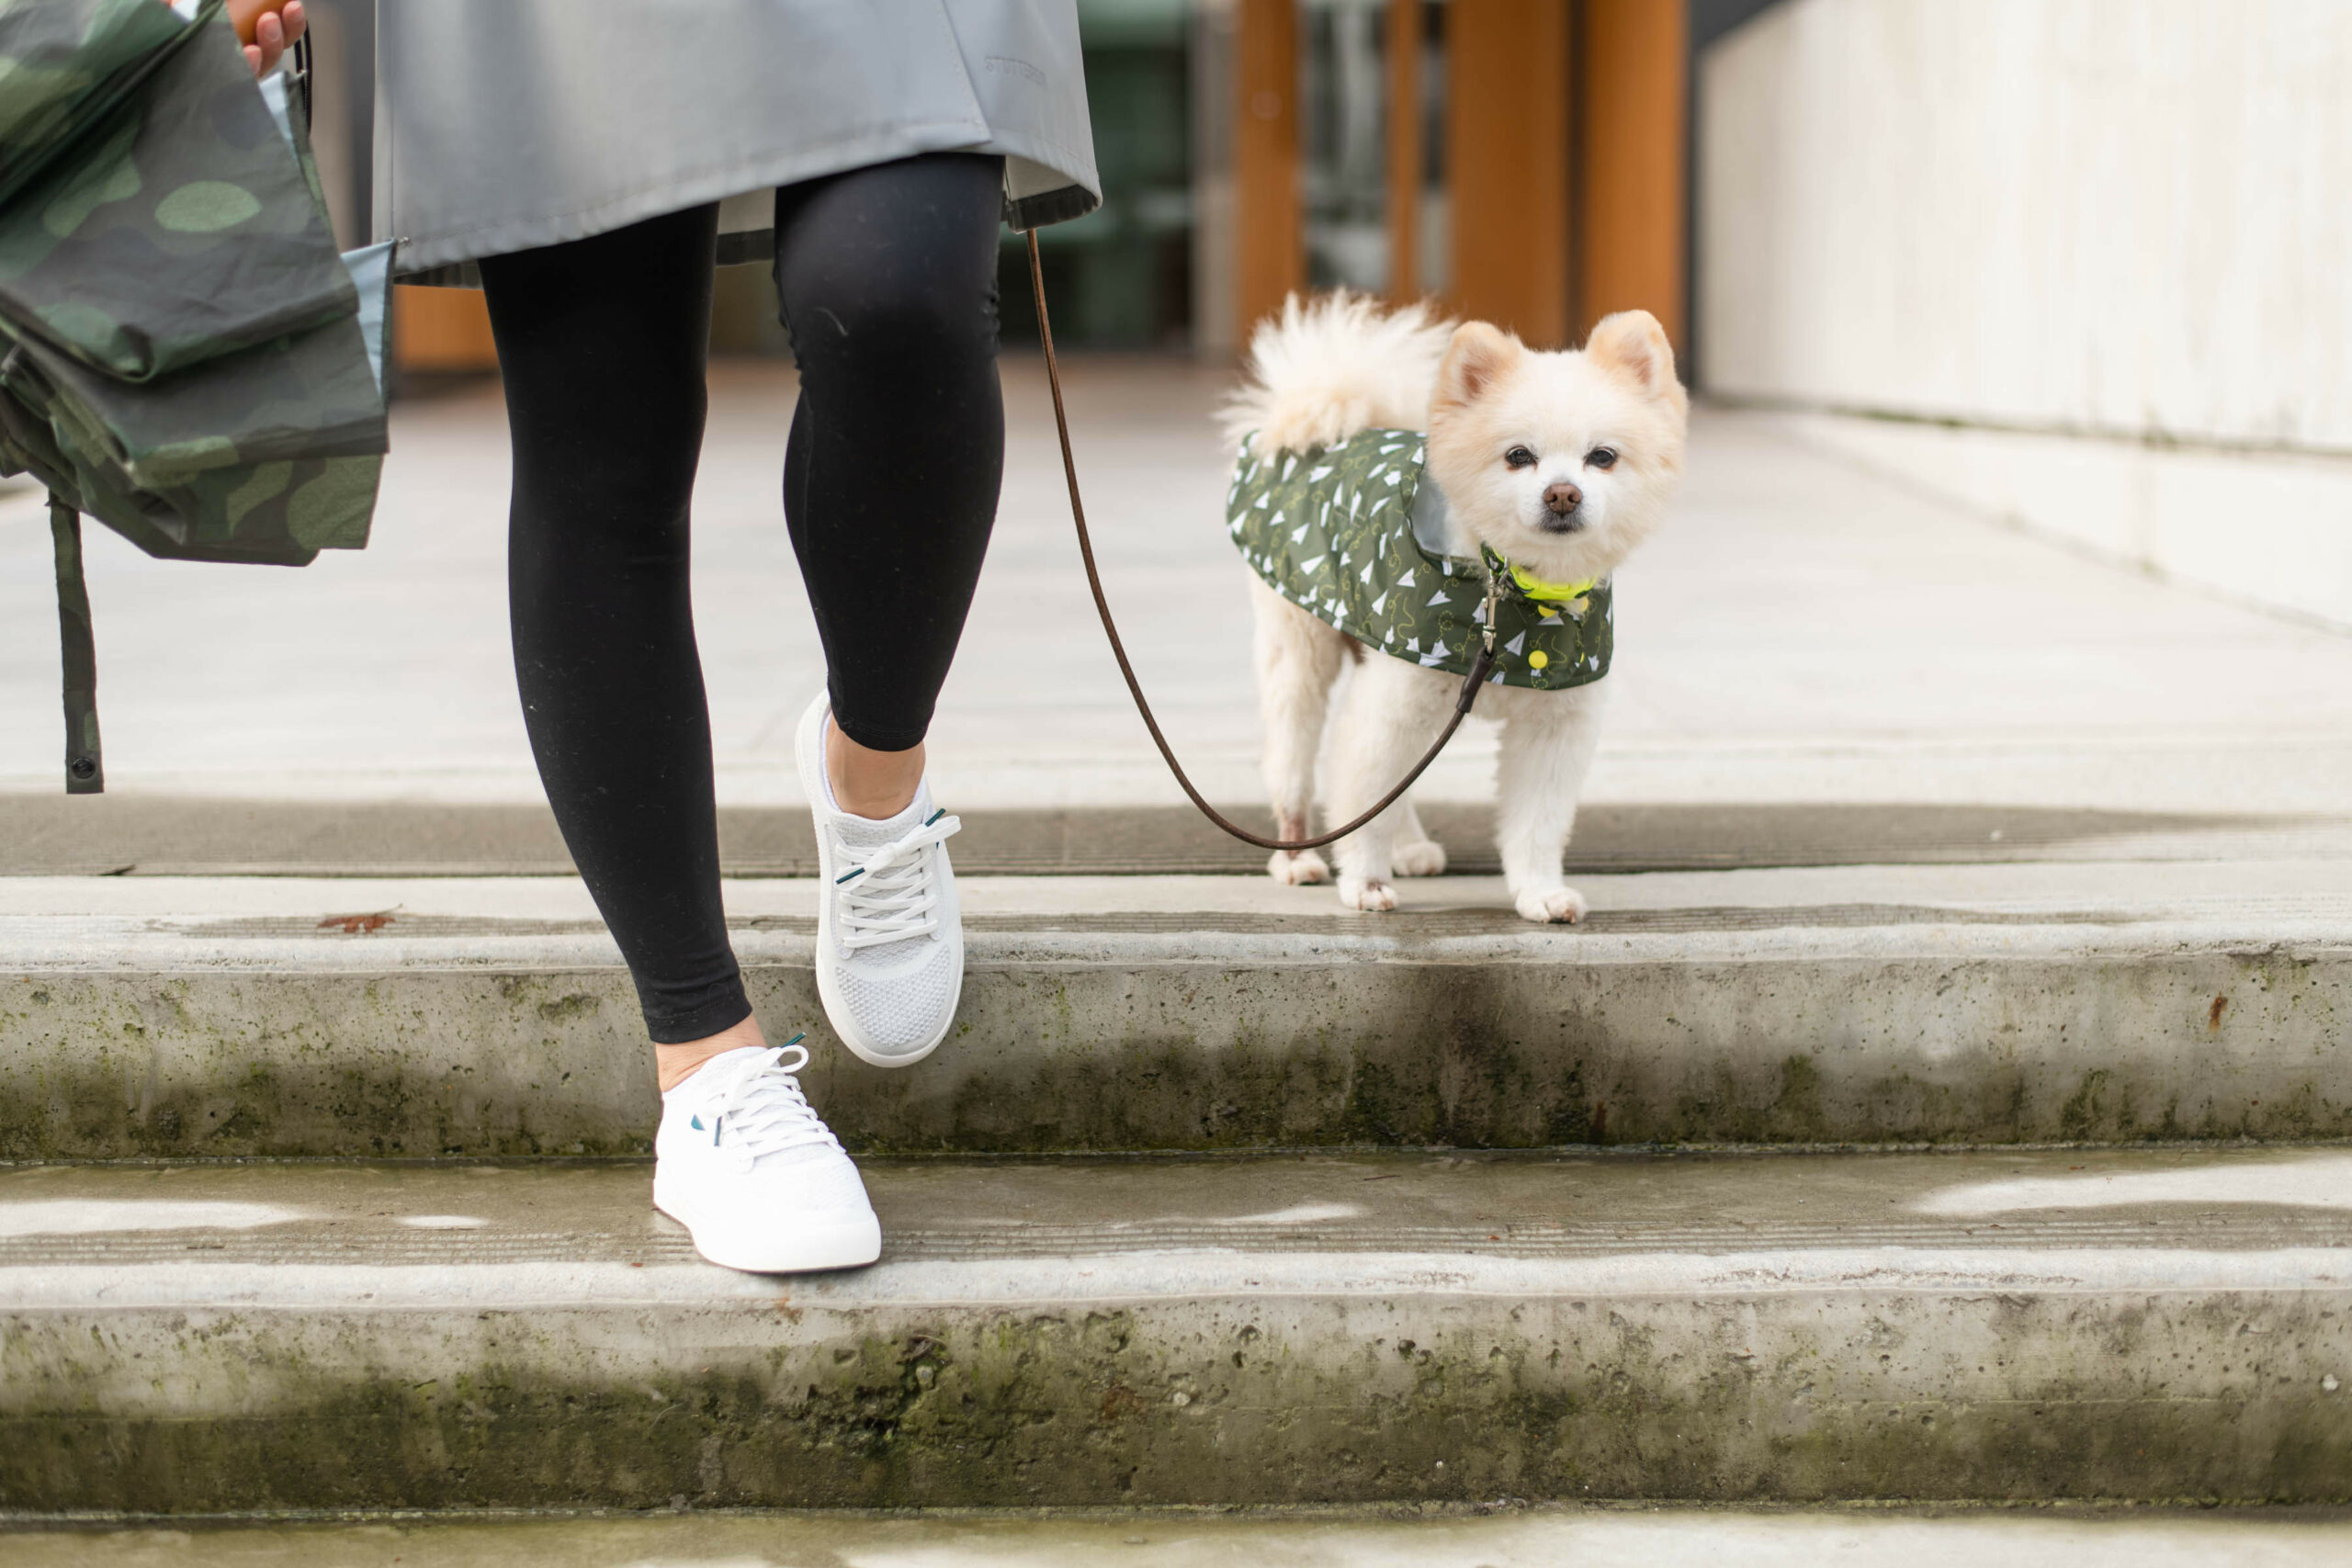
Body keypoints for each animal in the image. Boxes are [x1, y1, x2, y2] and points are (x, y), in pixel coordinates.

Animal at [1213, 293, 1693, 921]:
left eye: (1603, 457)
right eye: (1519, 455)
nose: (1563, 493)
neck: (1516, 600)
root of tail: (1332, 422)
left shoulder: (1554, 725)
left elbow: (1535, 824)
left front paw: (1539, 892)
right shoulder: (1393, 702)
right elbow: (1366, 792)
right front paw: (1364, 881)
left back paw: (1409, 846)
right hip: (1299, 654)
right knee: (1293, 760)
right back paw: (1296, 855)